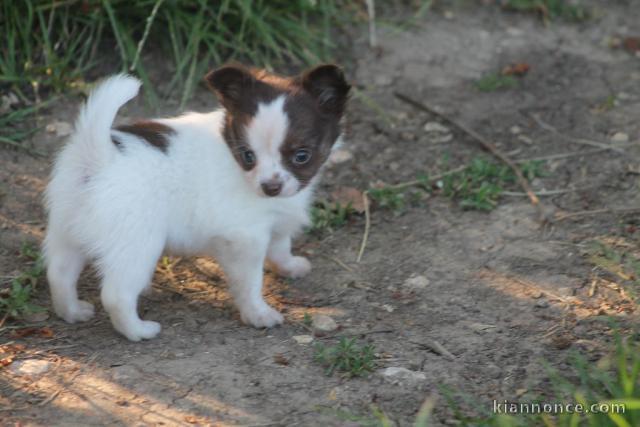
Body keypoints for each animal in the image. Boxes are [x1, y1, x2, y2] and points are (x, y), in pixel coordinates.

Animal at [43, 64, 350, 342]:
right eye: (248, 156)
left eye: (301, 156)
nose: (270, 187)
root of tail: (99, 158)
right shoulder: (245, 239)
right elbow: (250, 283)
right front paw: (258, 314)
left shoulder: (273, 222)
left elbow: (280, 247)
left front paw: (290, 267)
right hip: (138, 246)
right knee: (116, 294)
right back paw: (139, 331)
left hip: (67, 229)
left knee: (59, 273)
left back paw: (72, 312)